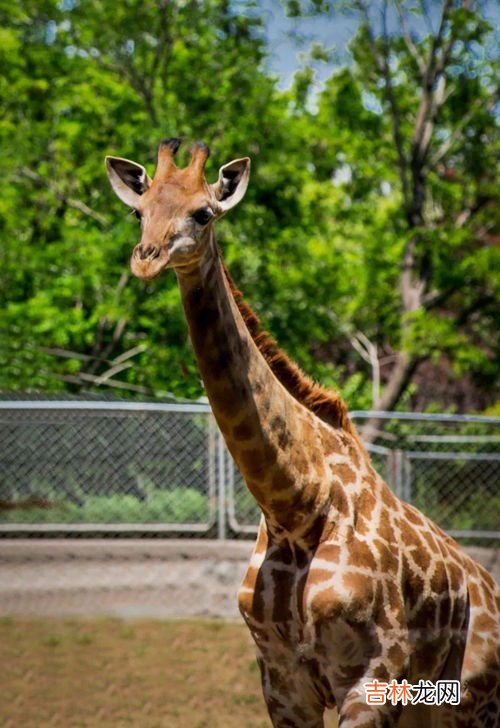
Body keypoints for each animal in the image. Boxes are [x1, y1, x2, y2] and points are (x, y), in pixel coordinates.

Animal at [106, 139, 500, 724]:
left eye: (204, 213)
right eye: (140, 210)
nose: (146, 259)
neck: (297, 505)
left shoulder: (370, 677)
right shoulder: (283, 681)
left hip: (472, 701)